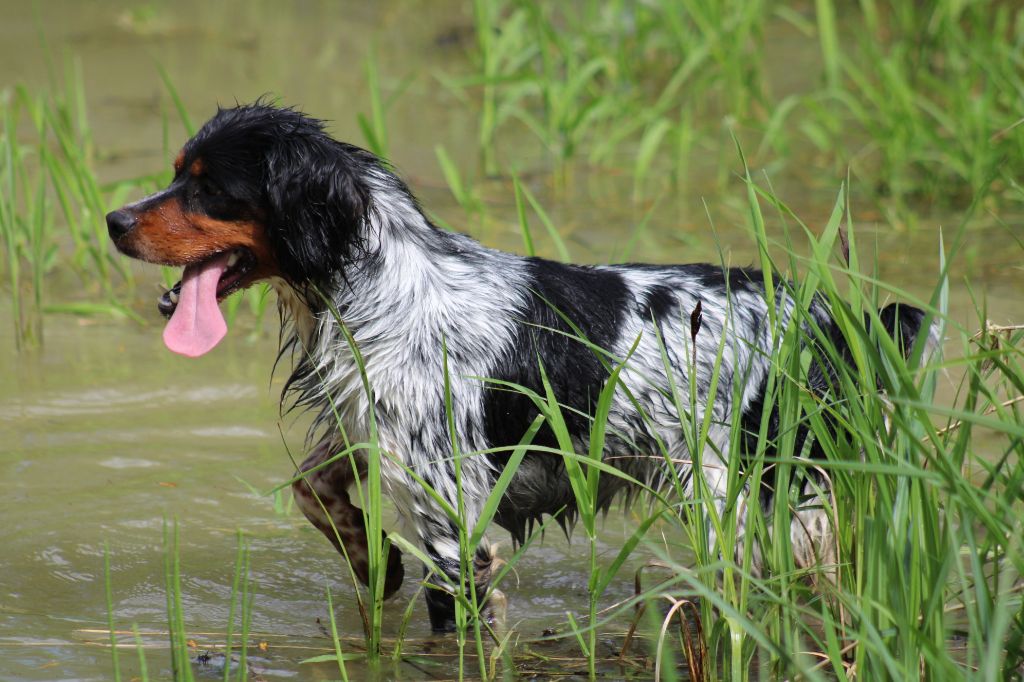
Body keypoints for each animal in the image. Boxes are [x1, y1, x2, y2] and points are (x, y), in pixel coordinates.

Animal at [105, 102, 937, 630]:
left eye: (208, 186)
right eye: (177, 171)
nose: (114, 220)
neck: (378, 290)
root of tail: (833, 319)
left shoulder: (452, 528)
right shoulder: (376, 438)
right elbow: (313, 488)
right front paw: (372, 561)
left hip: (747, 493)